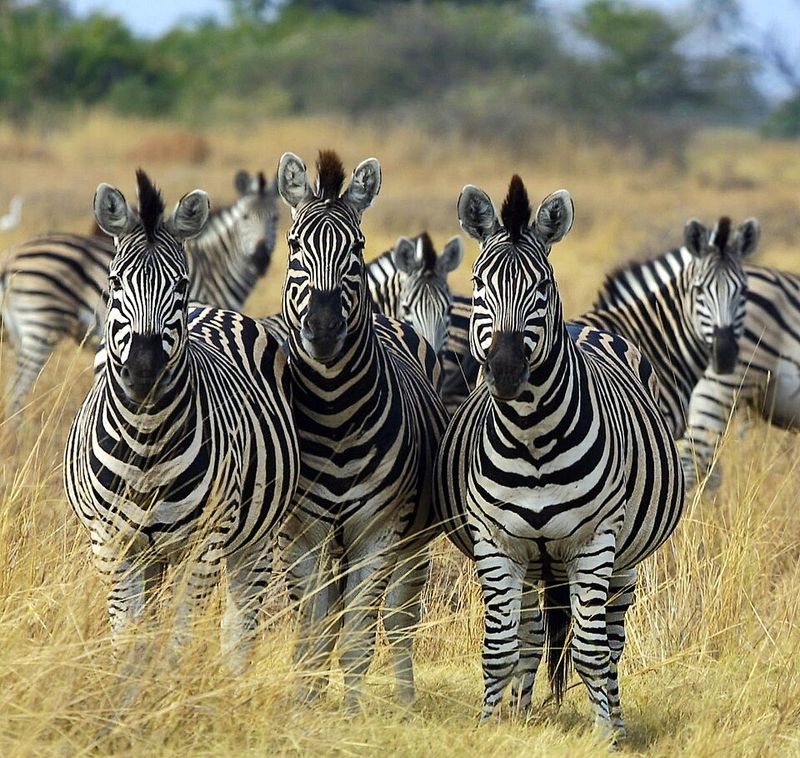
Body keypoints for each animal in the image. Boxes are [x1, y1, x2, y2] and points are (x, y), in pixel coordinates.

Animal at [0, 169, 278, 419]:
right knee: (17, 390)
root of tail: (11, 257)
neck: (214, 266)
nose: (261, 260)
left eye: (275, 219)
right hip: (41, 323)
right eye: (245, 217)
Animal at [63, 170, 299, 675]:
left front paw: (170, 688)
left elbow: (181, 638)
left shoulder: (206, 543)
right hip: (151, 554)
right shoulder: (110, 544)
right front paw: (132, 692)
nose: (144, 370)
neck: (146, 440)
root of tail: (214, 310)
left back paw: (230, 680)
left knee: (240, 622)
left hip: (256, 536)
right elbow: (129, 639)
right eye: (114, 281)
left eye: (181, 283)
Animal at [275, 150, 448, 709]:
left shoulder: (379, 530)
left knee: (398, 618)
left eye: (358, 249)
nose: (325, 329)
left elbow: (358, 636)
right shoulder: (301, 533)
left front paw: (350, 714)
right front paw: (305, 706)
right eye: (294, 247)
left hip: (412, 540)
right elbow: (313, 630)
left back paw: (406, 699)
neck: (333, 415)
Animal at [433, 175, 685, 741]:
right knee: (528, 633)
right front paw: (490, 727)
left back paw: (615, 720)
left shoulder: (594, 541)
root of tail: (587, 327)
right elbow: (498, 648)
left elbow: (591, 651)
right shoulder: (496, 541)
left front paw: (606, 736)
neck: (531, 437)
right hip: (533, 561)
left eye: (542, 289)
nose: (506, 372)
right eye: (478, 284)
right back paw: (521, 711)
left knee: (611, 642)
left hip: (623, 561)